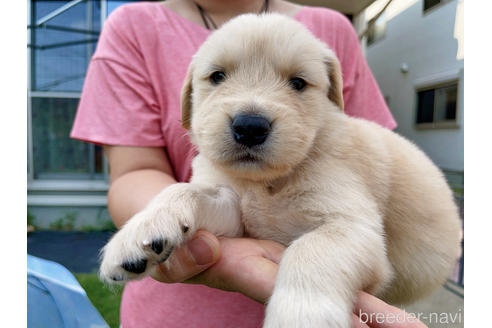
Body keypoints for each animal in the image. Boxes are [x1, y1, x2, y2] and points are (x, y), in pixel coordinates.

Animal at [100, 13, 462, 328]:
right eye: (217, 76)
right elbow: (186, 190)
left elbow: (310, 251)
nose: (250, 127)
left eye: (298, 83)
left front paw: (301, 318)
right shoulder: (236, 212)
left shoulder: (353, 227)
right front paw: (142, 230)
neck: (269, 181)